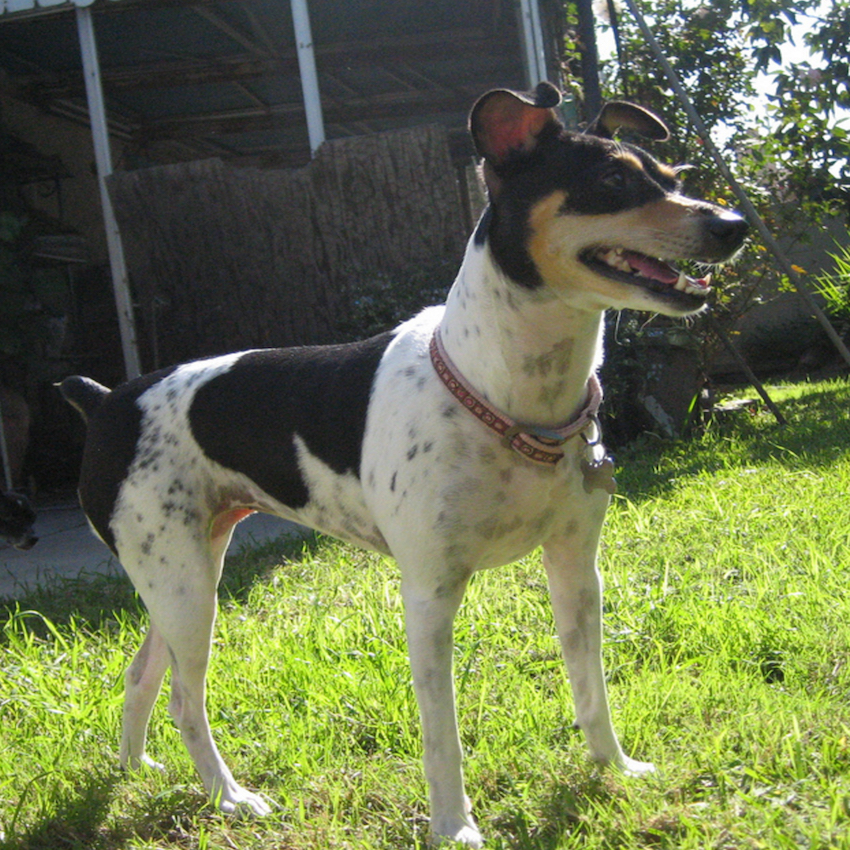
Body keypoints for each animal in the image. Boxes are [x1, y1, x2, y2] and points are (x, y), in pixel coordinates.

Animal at [59, 83, 744, 844]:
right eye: (612, 182)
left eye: (674, 178)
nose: (734, 225)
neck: (503, 395)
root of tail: (107, 401)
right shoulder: (430, 595)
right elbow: (441, 734)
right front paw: (454, 826)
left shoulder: (575, 570)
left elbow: (590, 689)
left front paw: (615, 769)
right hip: (182, 585)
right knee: (184, 696)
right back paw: (229, 797)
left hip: (183, 569)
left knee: (140, 673)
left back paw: (133, 768)